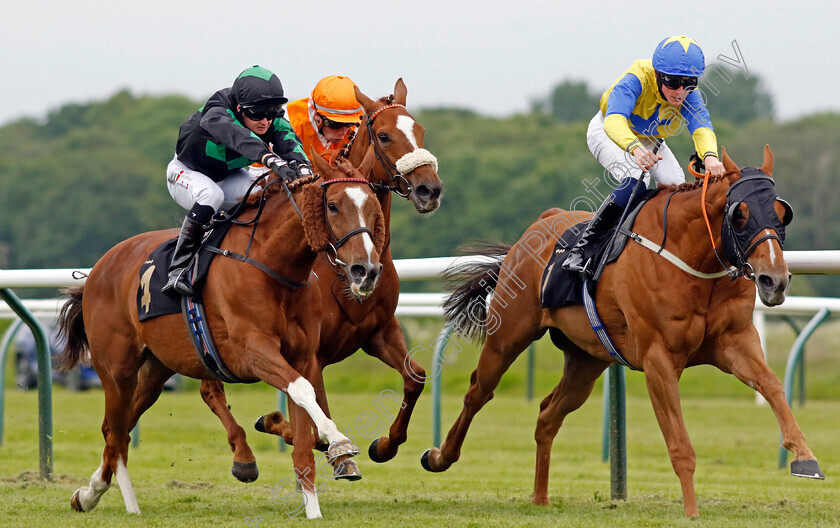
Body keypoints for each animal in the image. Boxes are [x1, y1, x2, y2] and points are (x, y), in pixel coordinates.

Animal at [56, 152, 388, 520]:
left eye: (373, 205)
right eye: (332, 206)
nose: (366, 271)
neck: (272, 265)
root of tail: (98, 270)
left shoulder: (305, 357)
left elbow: (304, 427)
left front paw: (314, 509)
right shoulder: (253, 352)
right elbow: (303, 391)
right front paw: (338, 439)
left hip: (155, 370)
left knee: (118, 429)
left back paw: (89, 494)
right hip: (117, 370)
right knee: (116, 434)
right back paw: (121, 501)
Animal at [199, 77, 442, 478]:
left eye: (420, 131)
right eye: (385, 136)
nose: (430, 189)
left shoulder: (379, 331)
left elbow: (416, 377)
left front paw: (384, 445)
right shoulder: (314, 351)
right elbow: (313, 416)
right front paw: (302, 434)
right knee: (209, 389)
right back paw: (243, 454)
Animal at [420, 147, 820, 516]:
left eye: (782, 211)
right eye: (740, 213)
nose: (774, 280)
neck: (694, 262)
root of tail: (540, 224)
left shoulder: (735, 343)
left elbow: (772, 385)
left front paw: (804, 456)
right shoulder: (659, 360)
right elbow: (680, 444)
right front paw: (691, 511)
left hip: (586, 360)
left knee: (548, 414)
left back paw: (540, 497)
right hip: (508, 336)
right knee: (478, 393)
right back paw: (439, 456)